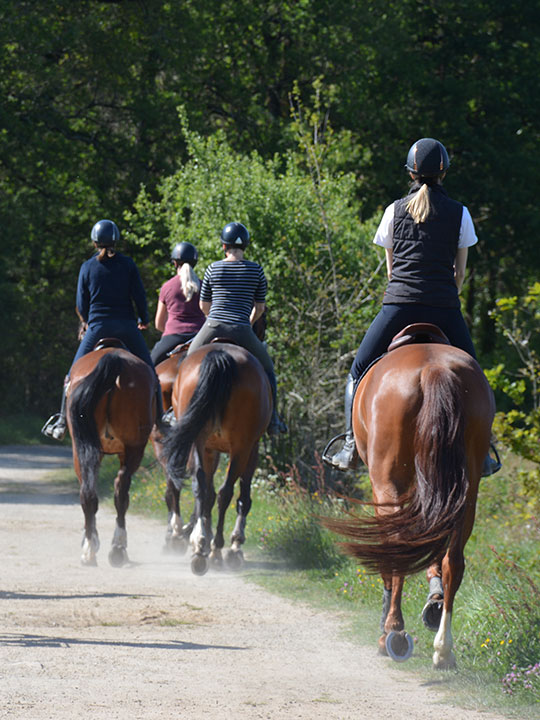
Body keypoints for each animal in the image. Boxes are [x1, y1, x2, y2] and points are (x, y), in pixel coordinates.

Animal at [67, 342, 156, 568]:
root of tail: (114, 359)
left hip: (85, 449)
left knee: (94, 493)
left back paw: (95, 548)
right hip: (132, 449)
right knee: (118, 491)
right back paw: (114, 548)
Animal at [322, 324, 496, 668]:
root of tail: (434, 369)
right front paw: (434, 600)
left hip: (388, 483)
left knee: (397, 547)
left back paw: (394, 633)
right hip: (467, 491)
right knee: (454, 559)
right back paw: (443, 649)